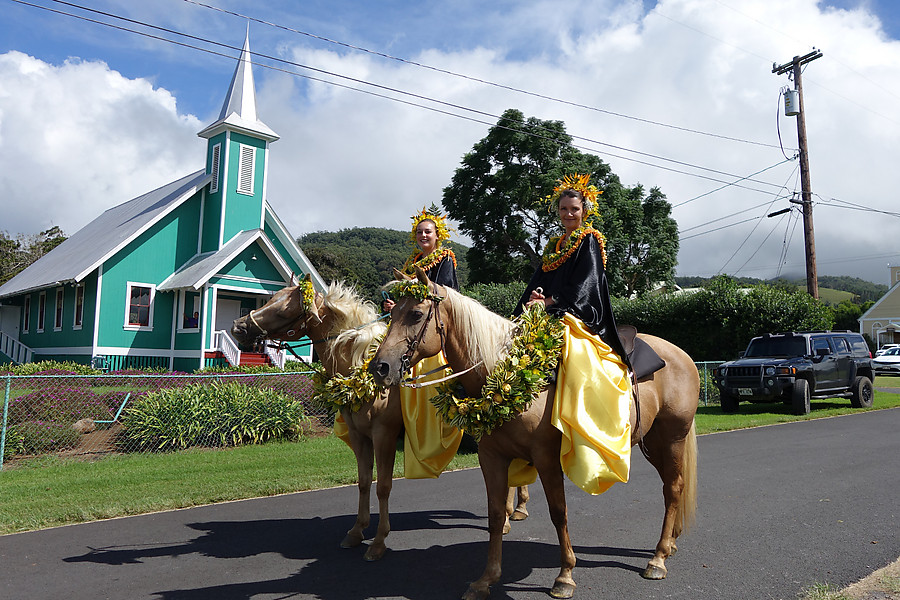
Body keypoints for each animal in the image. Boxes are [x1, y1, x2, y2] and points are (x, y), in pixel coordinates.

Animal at [229, 278, 532, 564]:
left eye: (283, 309)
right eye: (271, 299)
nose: (239, 326)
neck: (360, 366)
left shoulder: (383, 435)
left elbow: (383, 487)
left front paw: (378, 542)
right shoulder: (359, 435)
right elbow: (364, 482)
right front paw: (356, 531)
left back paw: (508, 517)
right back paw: (516, 510)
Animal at [370, 270, 700, 600]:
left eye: (416, 314)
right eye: (392, 314)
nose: (380, 367)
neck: (504, 374)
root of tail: (682, 354)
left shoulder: (546, 458)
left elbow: (558, 512)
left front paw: (565, 576)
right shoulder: (491, 457)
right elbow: (495, 515)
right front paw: (486, 579)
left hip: (672, 437)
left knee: (673, 488)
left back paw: (657, 559)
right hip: (653, 442)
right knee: (673, 485)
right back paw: (670, 544)